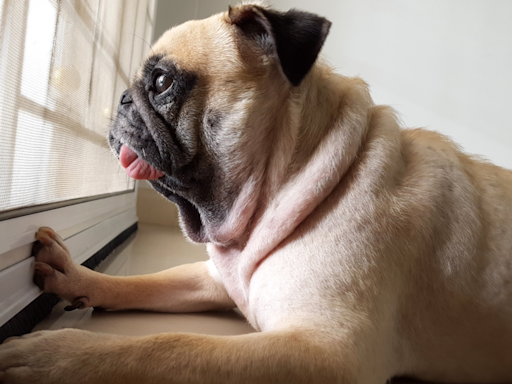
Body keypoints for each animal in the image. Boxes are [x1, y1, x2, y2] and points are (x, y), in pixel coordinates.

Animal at [1, 3, 512, 384]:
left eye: (162, 82)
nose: (123, 98)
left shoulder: (323, 352)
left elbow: (171, 346)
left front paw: (57, 357)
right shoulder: (213, 278)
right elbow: (145, 282)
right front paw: (78, 277)